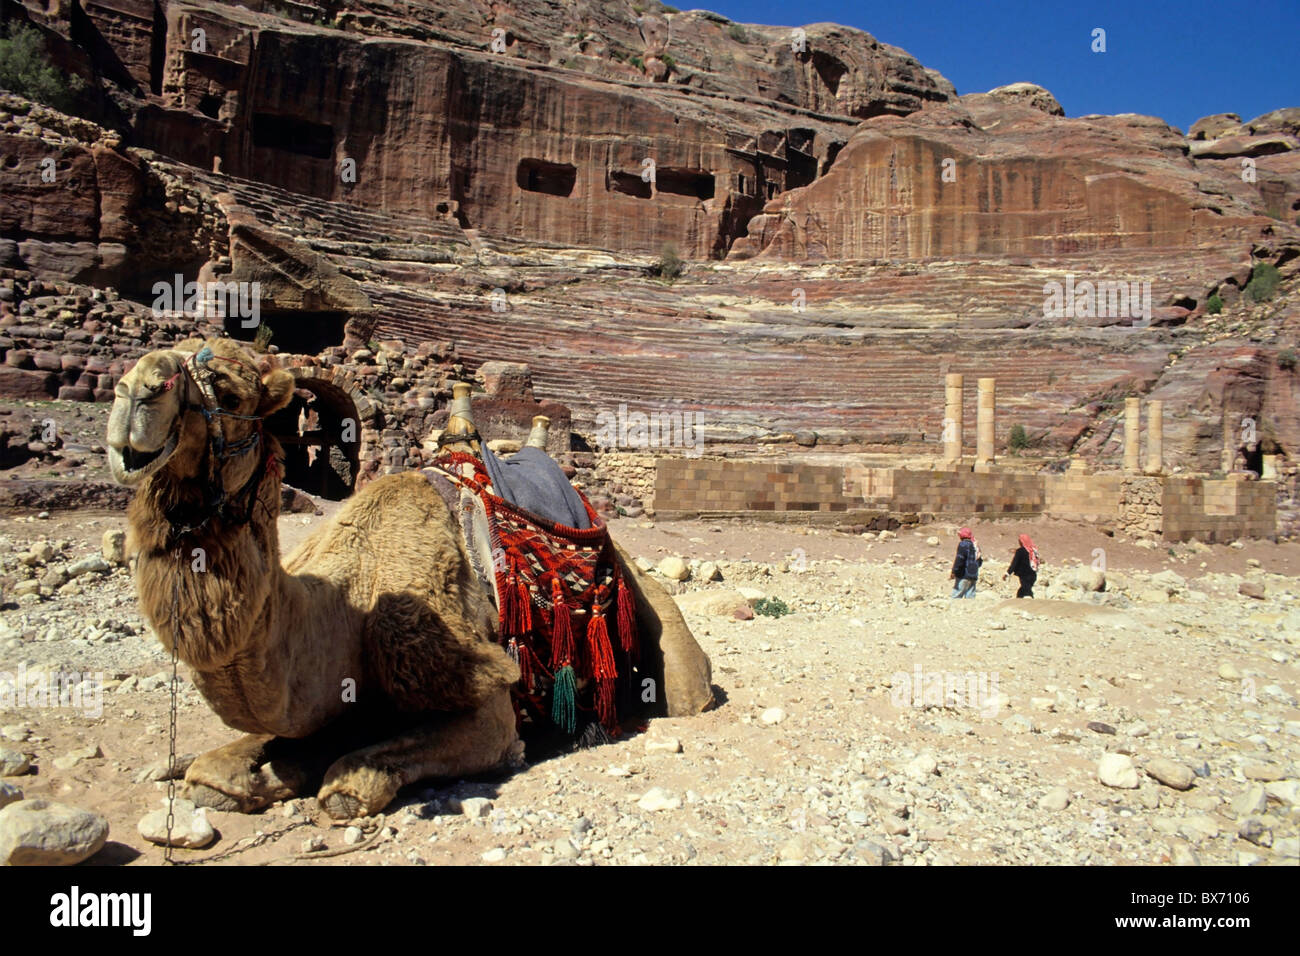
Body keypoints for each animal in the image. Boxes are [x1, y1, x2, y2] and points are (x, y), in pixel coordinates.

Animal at [109, 340, 722, 816]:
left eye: (229, 390)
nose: (133, 392)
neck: (350, 601)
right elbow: (218, 772)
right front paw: (231, 771)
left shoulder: (487, 707)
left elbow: (349, 783)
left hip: (662, 636)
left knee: (685, 685)